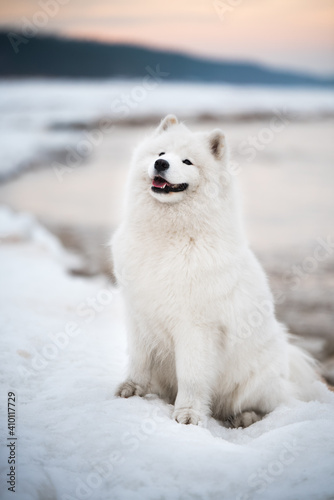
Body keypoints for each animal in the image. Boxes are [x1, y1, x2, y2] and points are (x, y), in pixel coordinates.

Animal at [113, 115, 320, 428]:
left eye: (187, 161)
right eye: (161, 153)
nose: (160, 164)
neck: (168, 237)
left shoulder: (196, 327)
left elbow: (192, 376)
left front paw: (187, 414)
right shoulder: (138, 313)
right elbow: (138, 359)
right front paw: (131, 388)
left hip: (253, 381)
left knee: (269, 405)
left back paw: (245, 417)